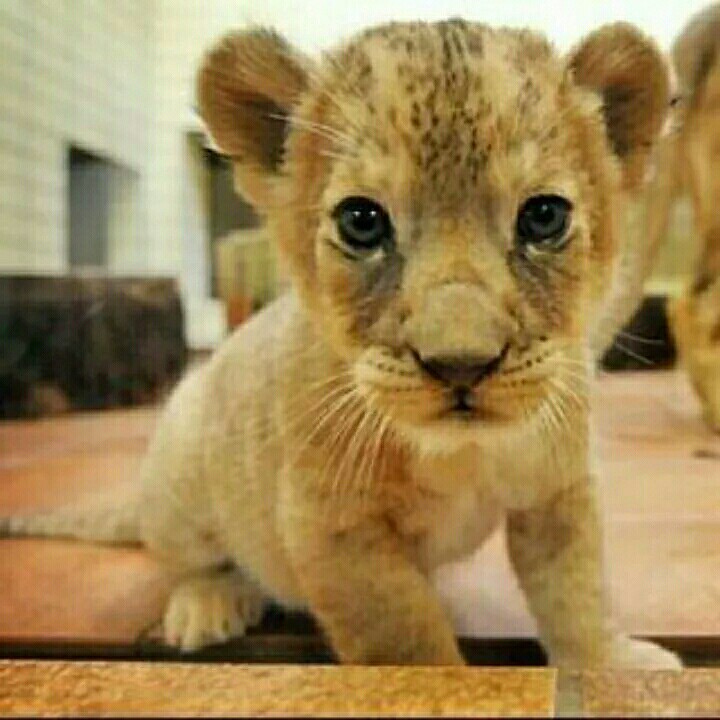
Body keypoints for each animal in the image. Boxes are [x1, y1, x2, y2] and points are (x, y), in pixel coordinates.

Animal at [0, 19, 680, 668]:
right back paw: (208, 604)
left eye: (544, 217)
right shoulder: (330, 525)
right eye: (362, 221)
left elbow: (579, 593)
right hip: (181, 468)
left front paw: (611, 669)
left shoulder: (559, 488)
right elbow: (406, 641)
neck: (458, 455)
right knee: (186, 558)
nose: (461, 365)